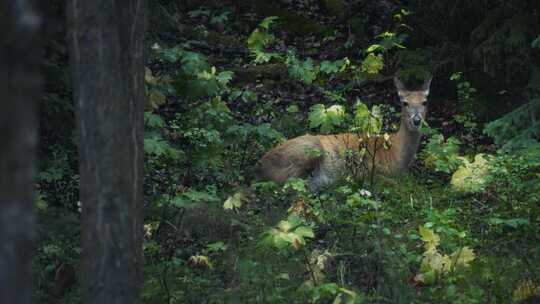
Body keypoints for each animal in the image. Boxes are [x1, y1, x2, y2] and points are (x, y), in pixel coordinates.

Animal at [260, 75, 432, 191]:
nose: (417, 120)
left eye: (424, 102)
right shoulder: (369, 170)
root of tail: (261, 167)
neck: (394, 153)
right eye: (405, 103)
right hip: (309, 149)